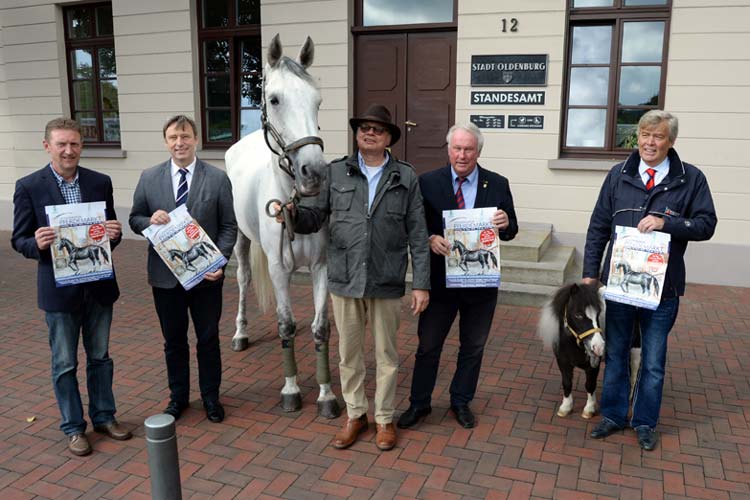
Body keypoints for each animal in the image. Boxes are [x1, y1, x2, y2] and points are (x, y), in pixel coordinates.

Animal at [223, 34, 340, 418]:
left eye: (318, 101)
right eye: (274, 99)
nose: (314, 172)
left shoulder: (320, 267)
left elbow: (321, 328)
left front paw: (326, 395)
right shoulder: (277, 266)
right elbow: (285, 323)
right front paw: (291, 390)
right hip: (242, 240)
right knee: (243, 279)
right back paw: (241, 333)